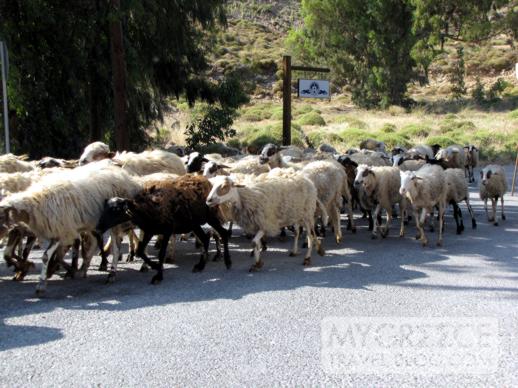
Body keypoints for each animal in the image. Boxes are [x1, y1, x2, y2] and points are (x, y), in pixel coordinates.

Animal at [0, 159, 142, 292]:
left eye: (1, 215)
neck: (34, 204)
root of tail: (122, 173)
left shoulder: (61, 231)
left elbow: (47, 256)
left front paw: (41, 283)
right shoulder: (61, 231)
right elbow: (56, 254)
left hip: (114, 221)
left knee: (116, 247)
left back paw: (111, 273)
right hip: (92, 223)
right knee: (94, 242)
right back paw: (84, 268)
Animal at [97, 174, 232, 284]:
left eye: (116, 210)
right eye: (104, 209)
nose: (99, 227)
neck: (145, 209)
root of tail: (204, 180)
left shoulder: (166, 231)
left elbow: (161, 253)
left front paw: (158, 275)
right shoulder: (150, 231)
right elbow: (140, 251)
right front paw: (154, 266)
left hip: (210, 216)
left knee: (223, 233)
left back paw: (227, 262)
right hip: (194, 223)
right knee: (205, 238)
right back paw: (200, 266)